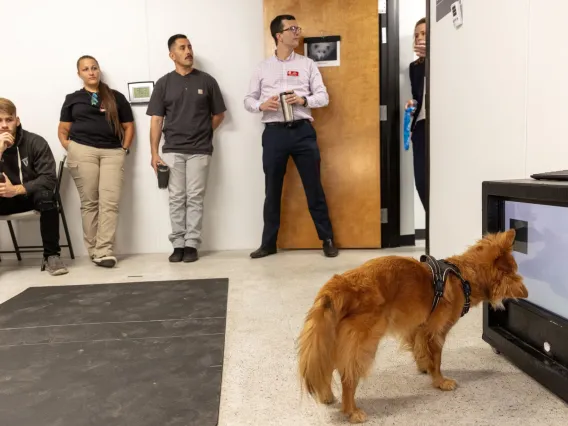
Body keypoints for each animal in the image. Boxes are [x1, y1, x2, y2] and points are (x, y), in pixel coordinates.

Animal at [298, 230, 528, 422]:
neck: (464, 275)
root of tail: (341, 284)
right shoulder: (436, 332)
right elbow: (437, 360)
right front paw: (440, 381)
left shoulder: (417, 328)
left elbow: (420, 351)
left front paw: (423, 367)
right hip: (363, 346)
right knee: (347, 378)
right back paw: (351, 411)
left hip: (329, 340)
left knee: (325, 368)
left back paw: (327, 396)